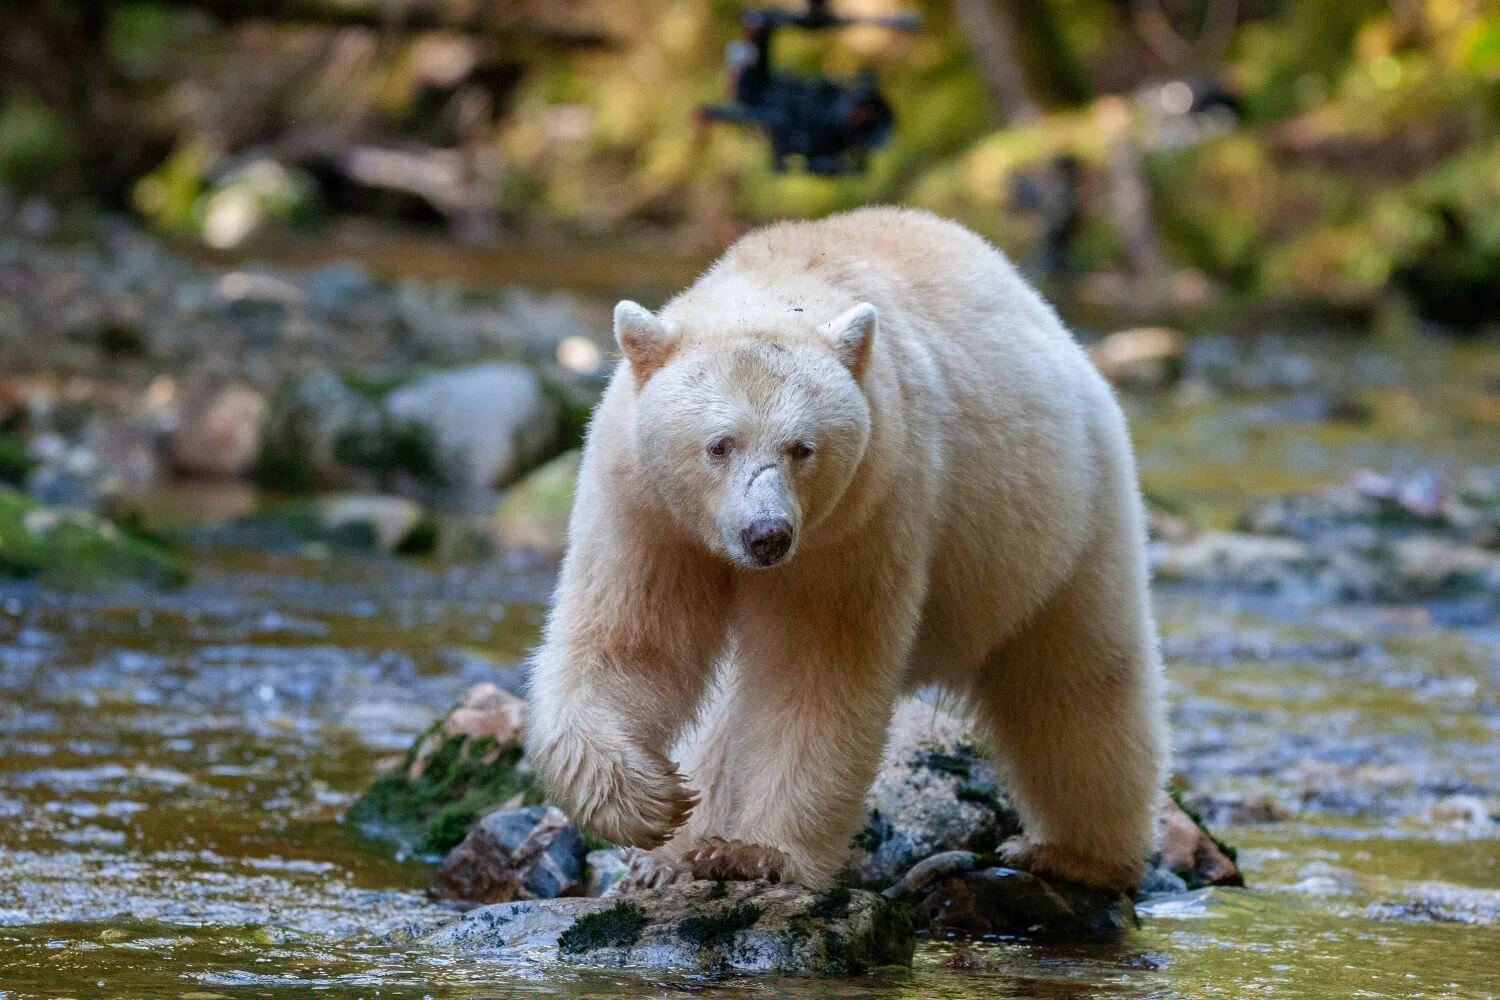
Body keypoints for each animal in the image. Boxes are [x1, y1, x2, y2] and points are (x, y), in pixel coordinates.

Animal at [524, 206, 1166, 892]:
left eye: (802, 447)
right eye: (718, 444)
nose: (767, 534)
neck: (781, 280)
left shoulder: (861, 518)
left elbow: (816, 668)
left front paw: (758, 853)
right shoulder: (646, 510)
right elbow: (632, 639)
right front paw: (653, 806)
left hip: (1063, 524)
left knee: (1079, 680)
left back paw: (1077, 854)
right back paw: (672, 859)